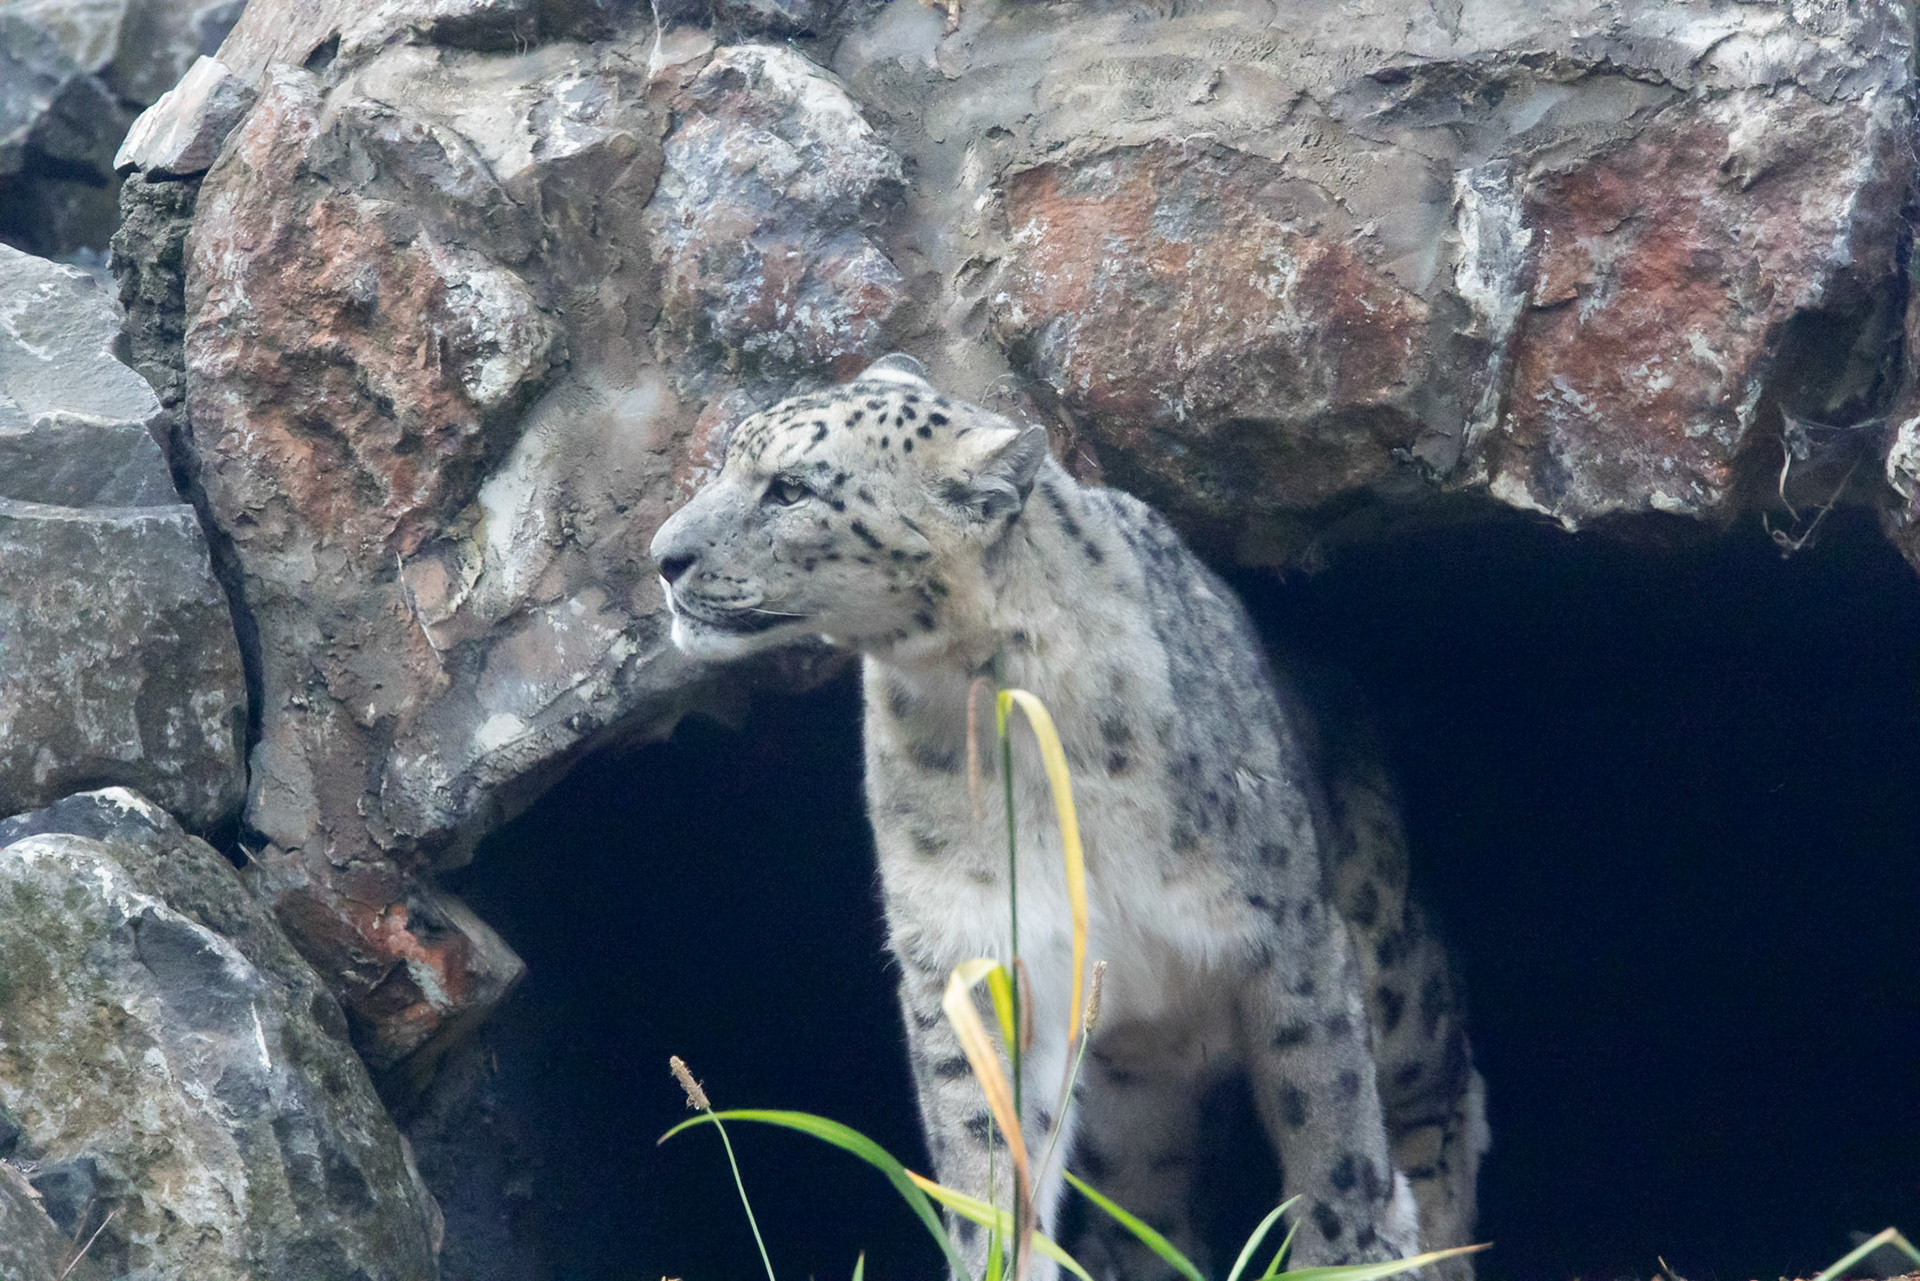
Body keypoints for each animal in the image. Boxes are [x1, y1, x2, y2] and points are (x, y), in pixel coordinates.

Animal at [649, 355, 1488, 1280]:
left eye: (791, 488)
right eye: (731, 459)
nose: (663, 556)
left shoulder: (1286, 929)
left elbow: (1326, 1109)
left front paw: (1350, 1250)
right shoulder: (969, 945)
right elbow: (985, 1144)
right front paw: (996, 1255)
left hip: (1388, 954)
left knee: (1433, 1085)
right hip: (1136, 1105)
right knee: (1149, 1209)